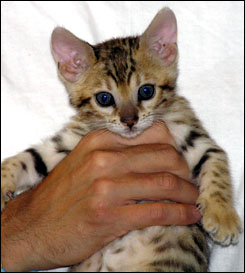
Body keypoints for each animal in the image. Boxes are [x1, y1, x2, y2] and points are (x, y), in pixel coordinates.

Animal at [0, 7, 241, 270]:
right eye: (104, 98)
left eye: (146, 91)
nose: (129, 120)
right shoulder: (68, 142)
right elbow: (27, 159)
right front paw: (2, 183)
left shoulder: (189, 131)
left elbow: (215, 164)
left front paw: (223, 216)